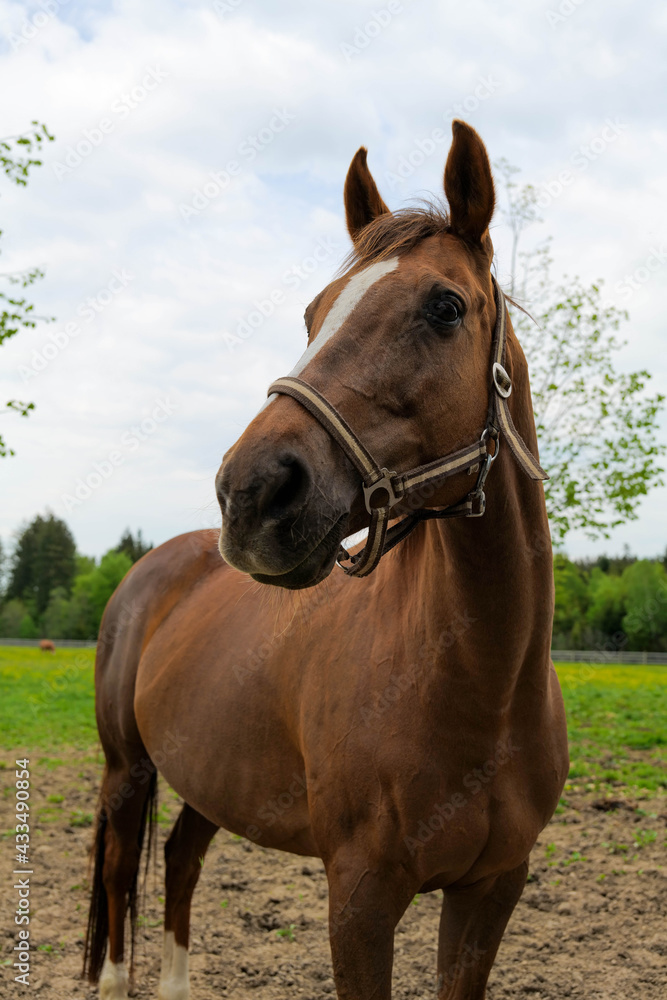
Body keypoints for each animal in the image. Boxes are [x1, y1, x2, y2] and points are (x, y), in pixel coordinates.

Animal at [84, 119, 569, 1000]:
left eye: (444, 307)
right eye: (314, 312)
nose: (249, 493)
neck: (481, 686)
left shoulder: (491, 891)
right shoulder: (360, 899)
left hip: (208, 771)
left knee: (179, 860)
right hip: (126, 769)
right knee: (116, 869)